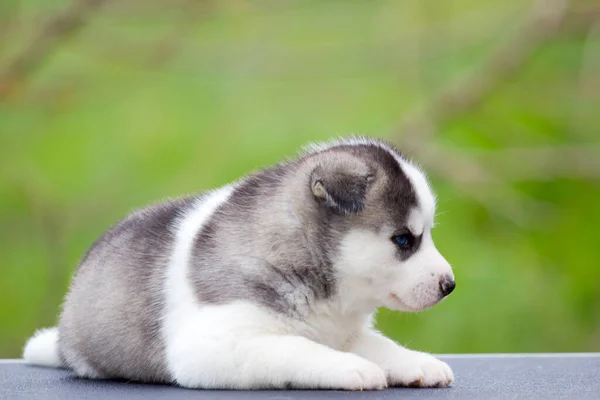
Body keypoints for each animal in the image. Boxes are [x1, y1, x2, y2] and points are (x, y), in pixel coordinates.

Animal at [23, 138, 454, 390]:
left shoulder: (345, 332)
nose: (449, 285)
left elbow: (380, 345)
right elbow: (297, 348)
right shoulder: (216, 344)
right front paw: (351, 368)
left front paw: (417, 363)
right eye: (403, 240)